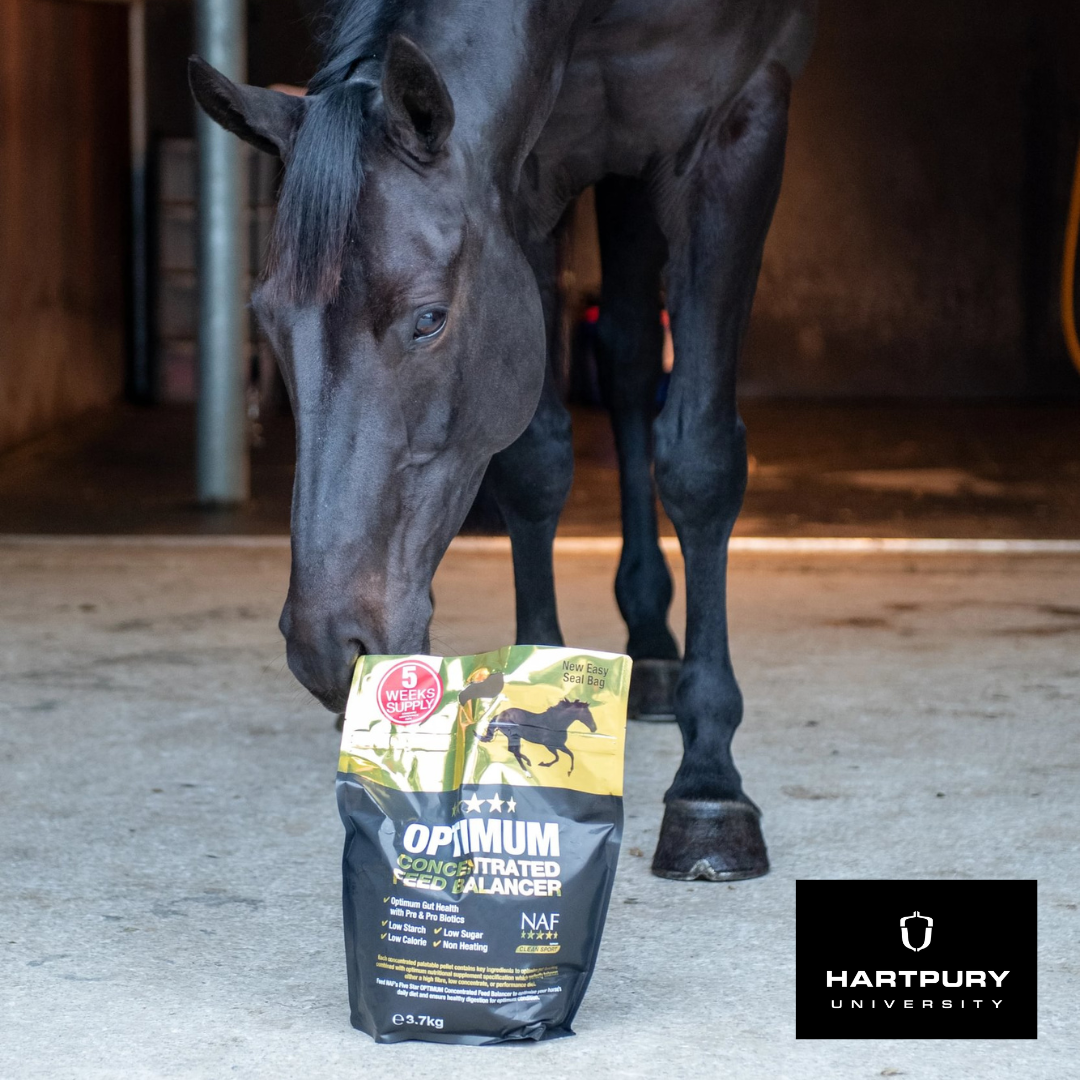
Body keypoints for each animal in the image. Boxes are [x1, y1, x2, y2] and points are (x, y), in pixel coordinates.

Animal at [190, 0, 817, 881]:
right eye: (267, 320)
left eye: (428, 319)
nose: (328, 645)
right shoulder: (524, 173)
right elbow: (534, 464)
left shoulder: (738, 119)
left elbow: (699, 461)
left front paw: (710, 788)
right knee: (628, 360)